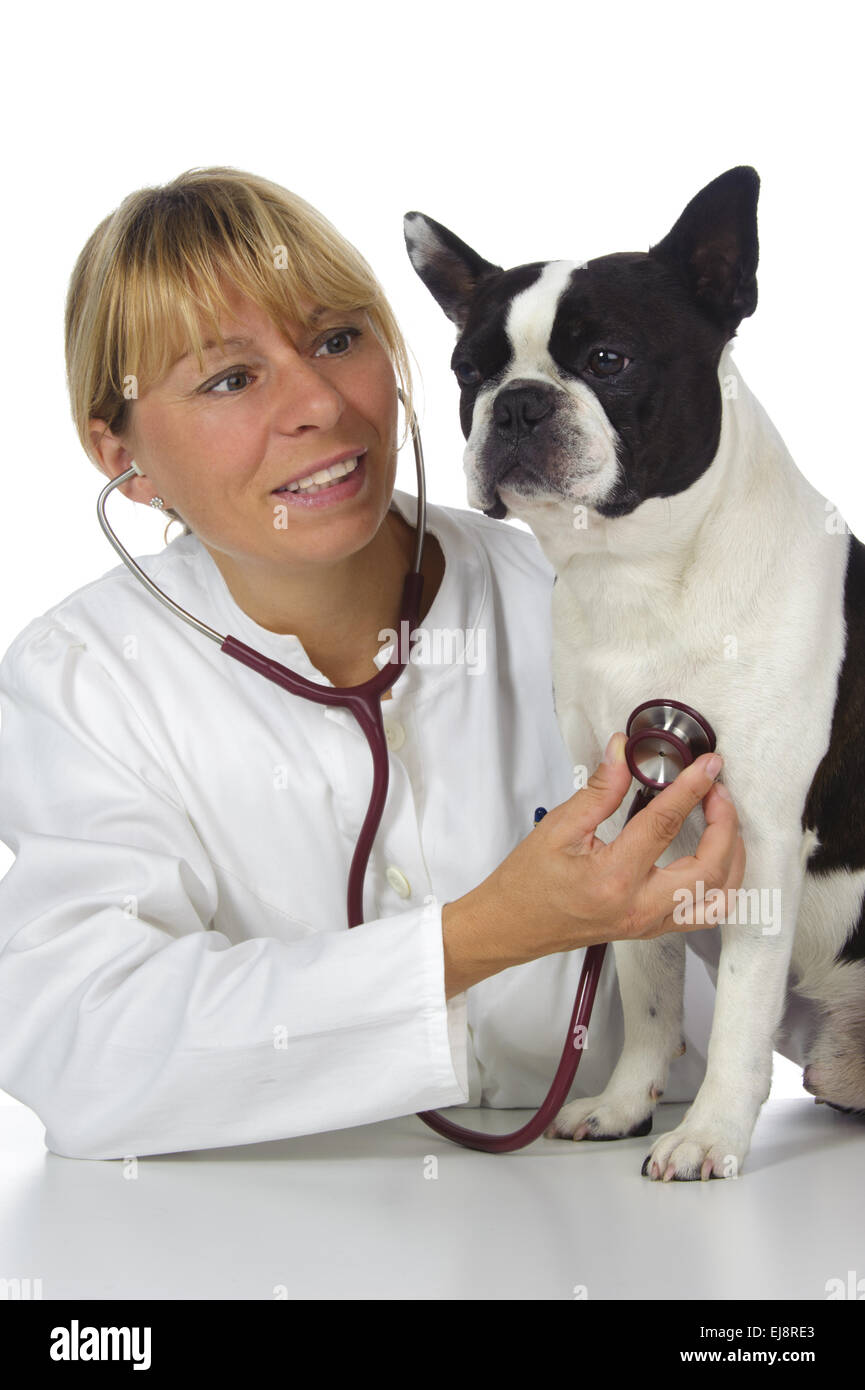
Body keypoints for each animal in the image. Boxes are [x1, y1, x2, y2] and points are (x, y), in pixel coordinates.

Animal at [406, 168, 865, 1178]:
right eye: (469, 372)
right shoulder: (622, 811)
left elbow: (735, 1013)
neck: (639, 573)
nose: (518, 402)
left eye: (608, 359)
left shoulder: (761, 836)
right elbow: (640, 979)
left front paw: (708, 1136)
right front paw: (625, 1105)